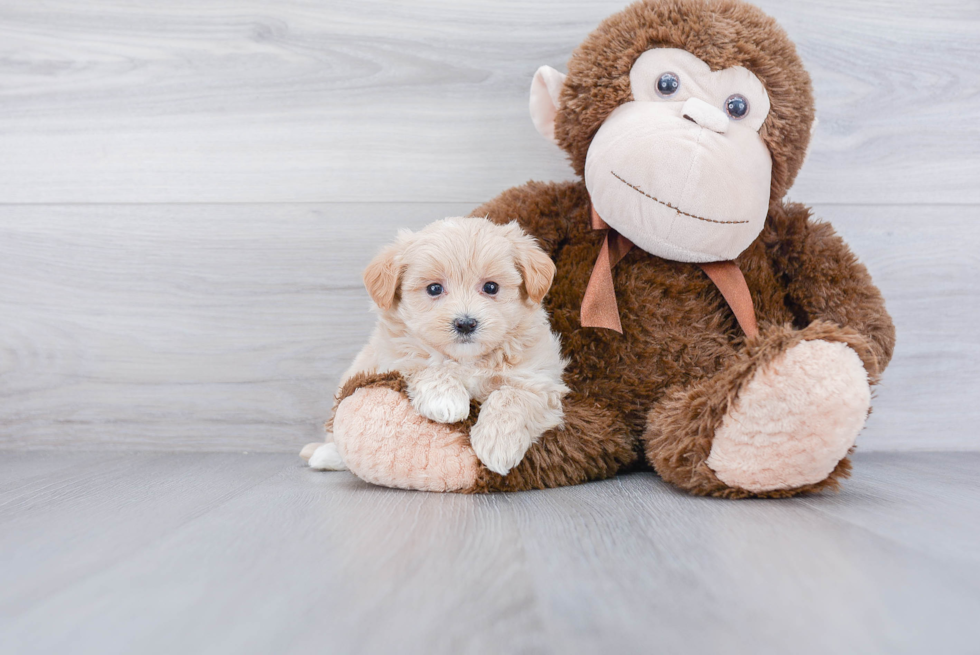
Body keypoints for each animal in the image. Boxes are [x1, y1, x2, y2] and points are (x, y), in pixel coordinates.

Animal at [302, 217, 572, 476]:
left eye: (491, 287)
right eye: (434, 288)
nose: (465, 323)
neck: (467, 361)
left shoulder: (540, 381)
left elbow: (513, 396)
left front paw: (497, 444)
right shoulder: (393, 356)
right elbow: (425, 362)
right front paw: (446, 399)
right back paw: (325, 454)